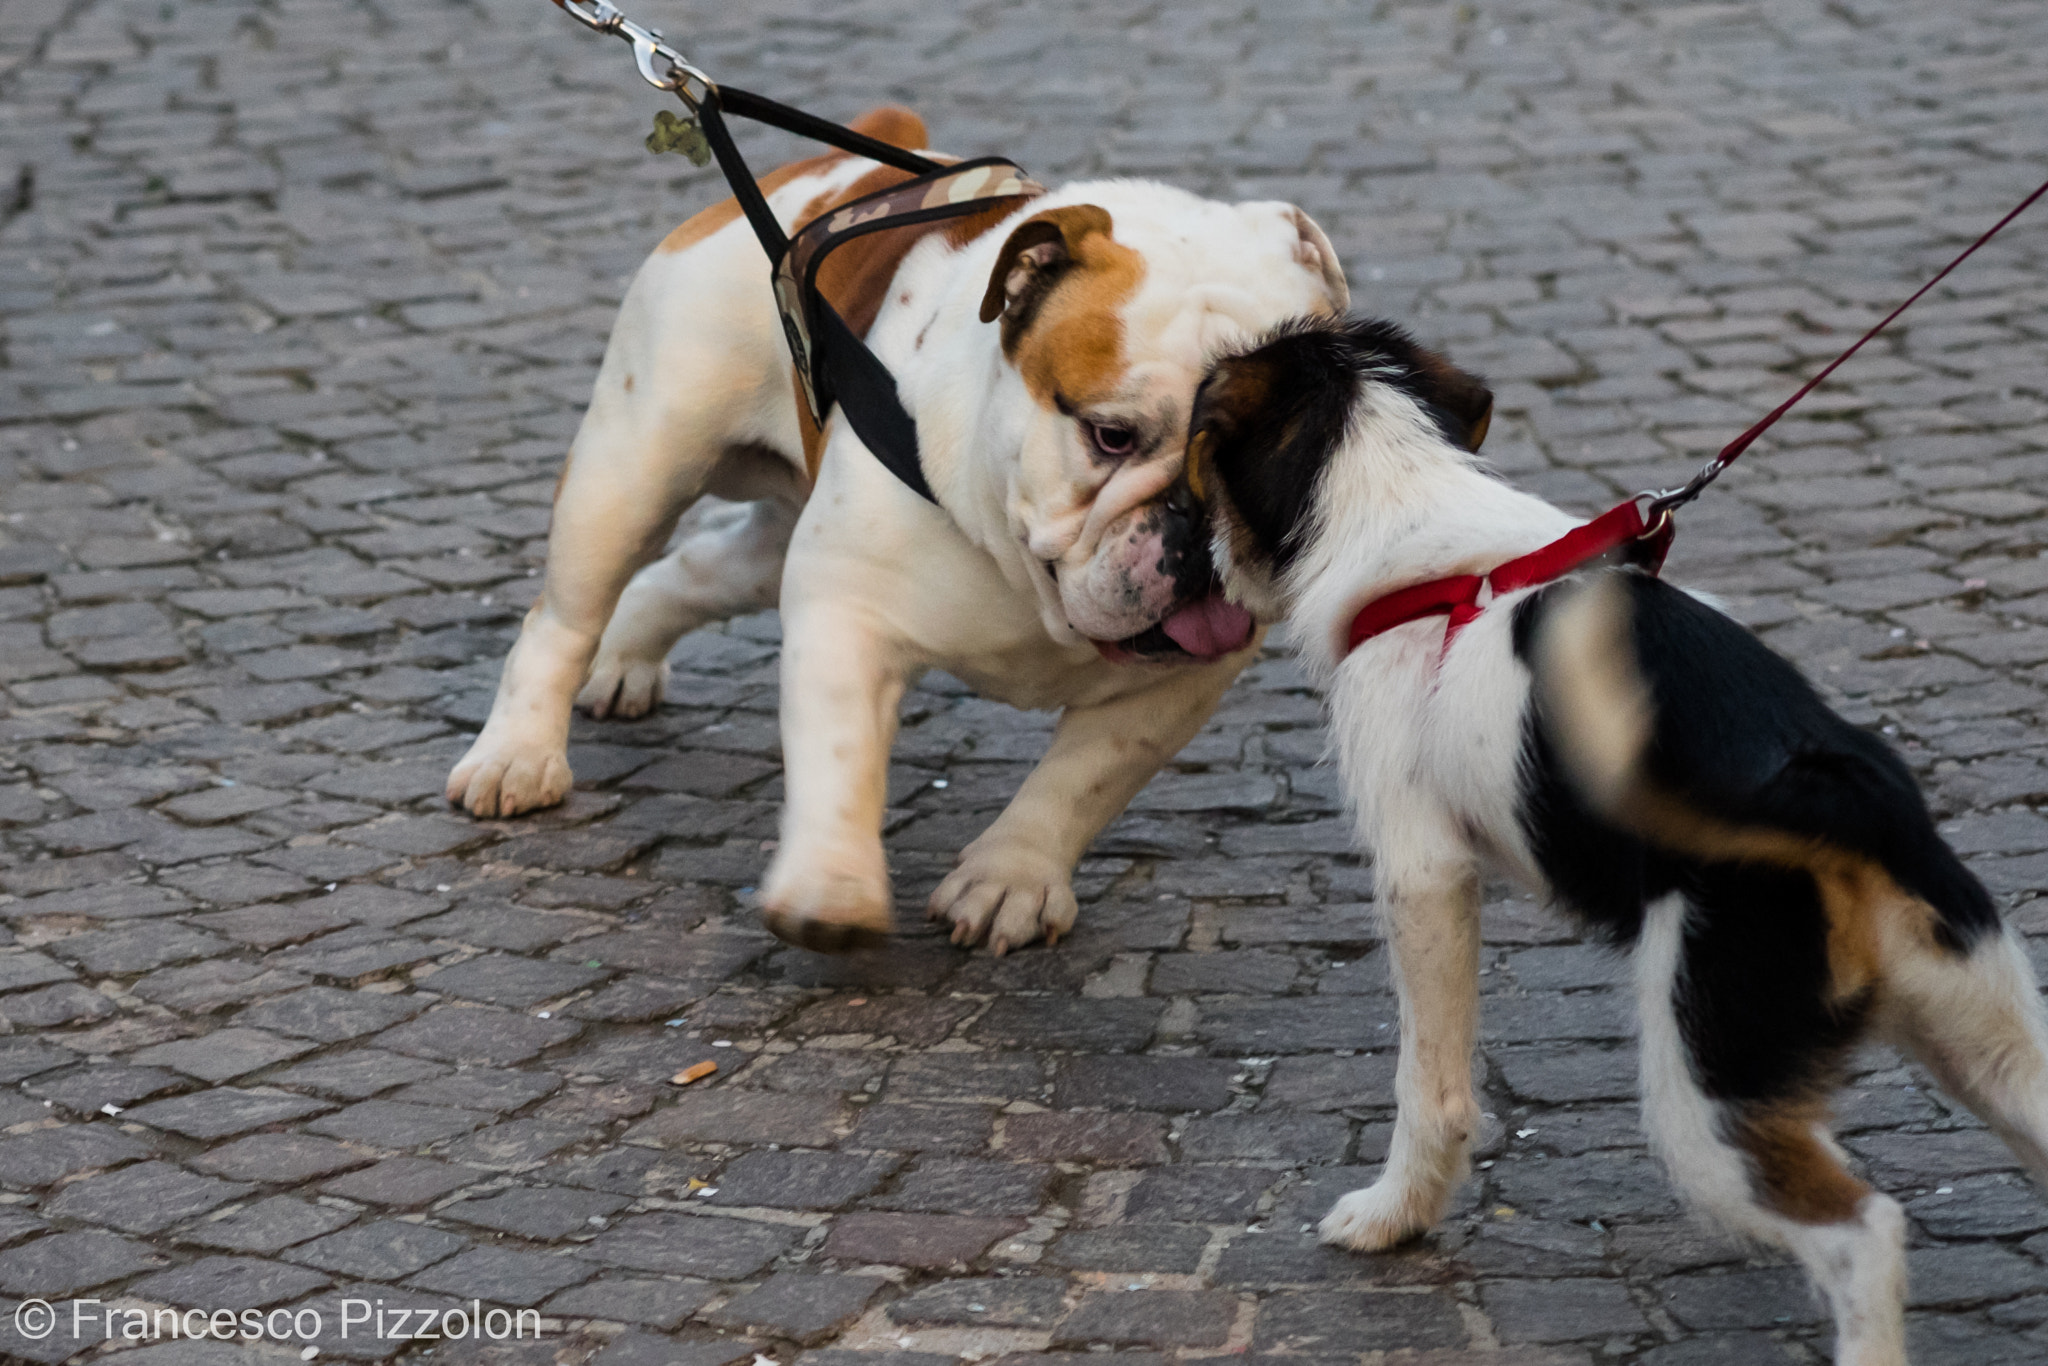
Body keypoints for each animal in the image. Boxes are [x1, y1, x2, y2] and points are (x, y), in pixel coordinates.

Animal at [1179, 315, 2048, 1359]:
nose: (1194, 570)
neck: (1412, 517)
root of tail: (1847, 789)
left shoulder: (1421, 872)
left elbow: (1428, 1085)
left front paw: (1395, 1215)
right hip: (1986, 1038)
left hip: (1707, 1085)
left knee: (1862, 1234)